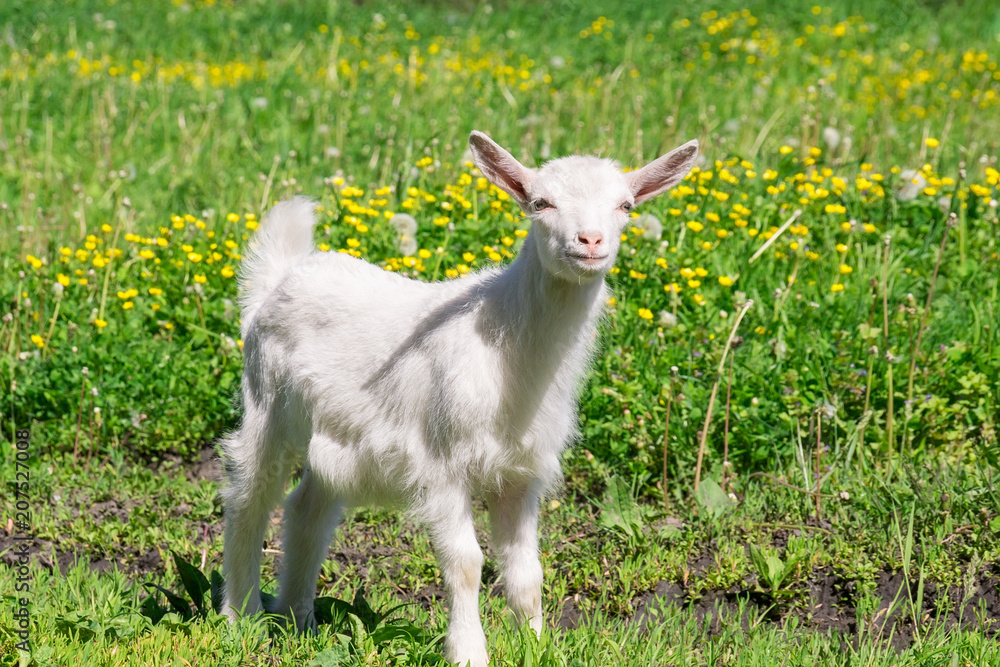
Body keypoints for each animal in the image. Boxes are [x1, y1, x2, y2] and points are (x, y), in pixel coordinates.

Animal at [220, 131, 698, 666]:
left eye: (626, 206)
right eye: (541, 203)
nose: (590, 242)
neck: (508, 350)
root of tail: (278, 280)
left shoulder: (521, 475)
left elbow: (527, 574)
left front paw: (536, 647)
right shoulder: (441, 463)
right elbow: (467, 563)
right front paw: (469, 652)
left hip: (338, 438)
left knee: (307, 509)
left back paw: (299, 621)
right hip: (267, 403)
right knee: (249, 497)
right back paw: (240, 616)